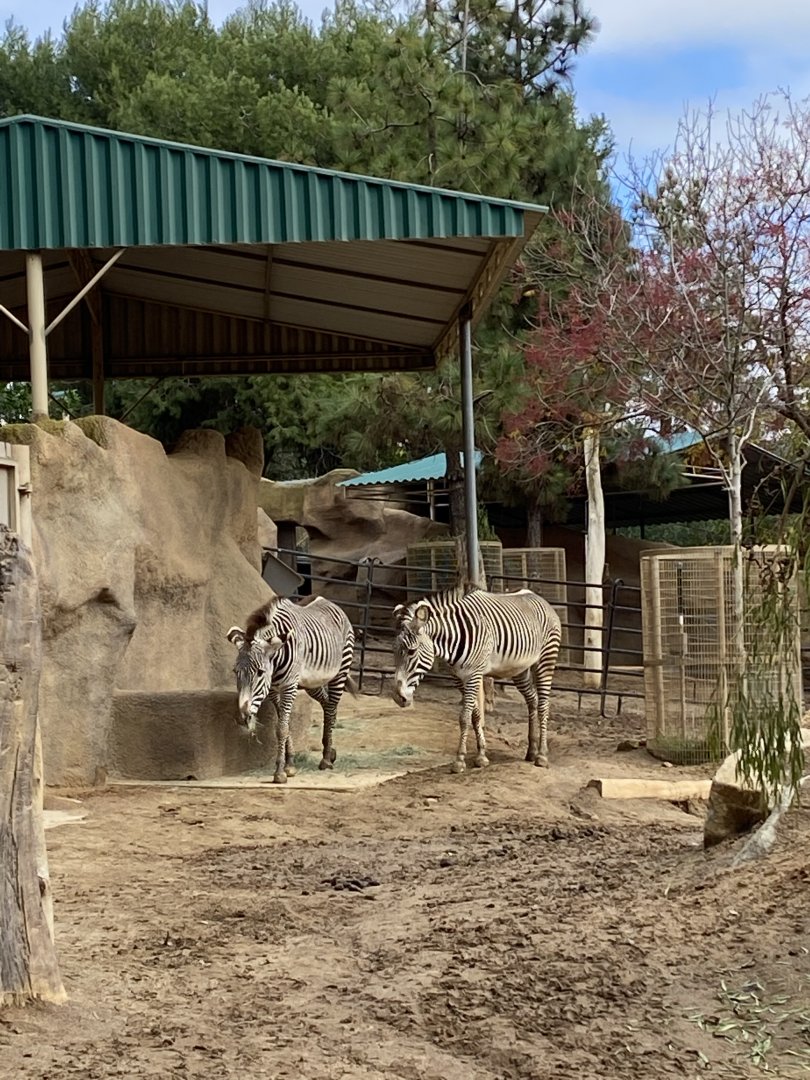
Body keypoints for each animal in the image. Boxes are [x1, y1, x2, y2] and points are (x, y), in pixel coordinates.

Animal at [227, 595, 355, 784]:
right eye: (236, 672)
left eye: (260, 672)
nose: (243, 718)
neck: (275, 659)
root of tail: (327, 601)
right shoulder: (273, 690)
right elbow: (284, 726)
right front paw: (290, 765)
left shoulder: (288, 686)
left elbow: (282, 729)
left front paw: (279, 772)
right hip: (311, 683)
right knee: (327, 704)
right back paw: (330, 751)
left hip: (340, 671)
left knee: (331, 707)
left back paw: (326, 758)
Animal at [392, 584, 561, 773]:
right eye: (394, 650)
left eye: (411, 651)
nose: (397, 697)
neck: (454, 638)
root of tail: (540, 598)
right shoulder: (459, 679)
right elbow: (476, 716)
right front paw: (481, 756)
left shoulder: (473, 675)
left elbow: (464, 718)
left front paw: (459, 760)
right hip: (520, 669)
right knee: (533, 700)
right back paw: (531, 751)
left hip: (546, 659)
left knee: (543, 705)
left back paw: (542, 756)